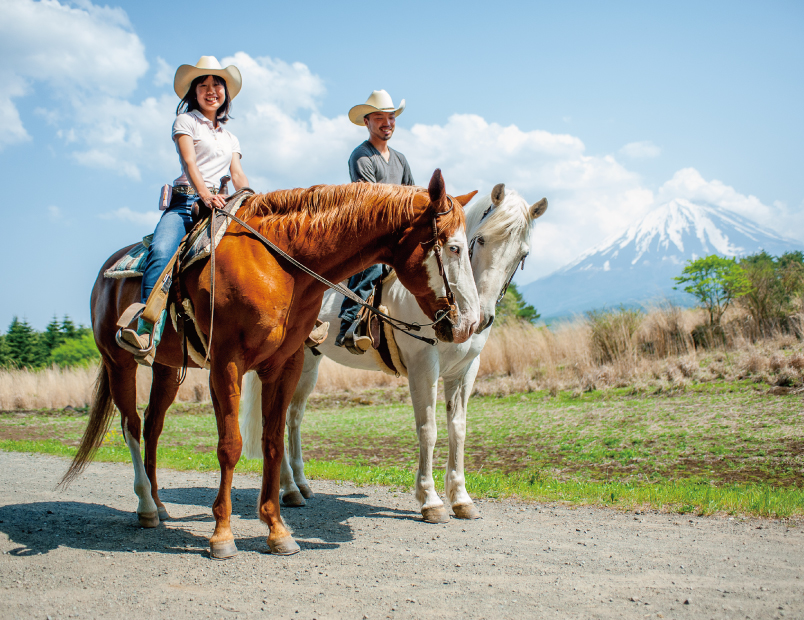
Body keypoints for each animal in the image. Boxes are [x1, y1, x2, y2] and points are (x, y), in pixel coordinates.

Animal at [62, 170, 480, 556]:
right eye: (454, 248)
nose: (469, 323)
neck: (281, 265)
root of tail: (108, 271)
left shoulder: (284, 365)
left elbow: (272, 441)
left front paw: (277, 529)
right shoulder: (226, 364)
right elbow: (230, 444)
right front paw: (222, 535)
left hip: (166, 369)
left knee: (152, 426)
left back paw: (160, 505)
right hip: (119, 362)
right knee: (131, 426)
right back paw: (146, 505)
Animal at [240, 185, 548, 524]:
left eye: (522, 255)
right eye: (479, 240)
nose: (479, 319)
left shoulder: (466, 370)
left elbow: (458, 429)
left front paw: (461, 498)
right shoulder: (424, 367)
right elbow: (428, 430)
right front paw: (430, 500)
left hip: (310, 362)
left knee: (293, 418)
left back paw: (300, 485)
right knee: (278, 419)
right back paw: (288, 488)